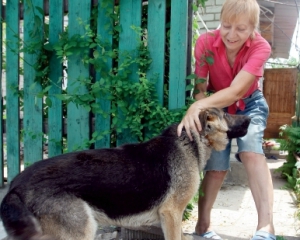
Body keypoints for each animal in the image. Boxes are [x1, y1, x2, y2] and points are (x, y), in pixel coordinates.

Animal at [0, 108, 251, 240]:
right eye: (226, 114)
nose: (250, 118)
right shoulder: (171, 214)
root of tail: (15, 185)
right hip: (83, 231)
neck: (191, 142)